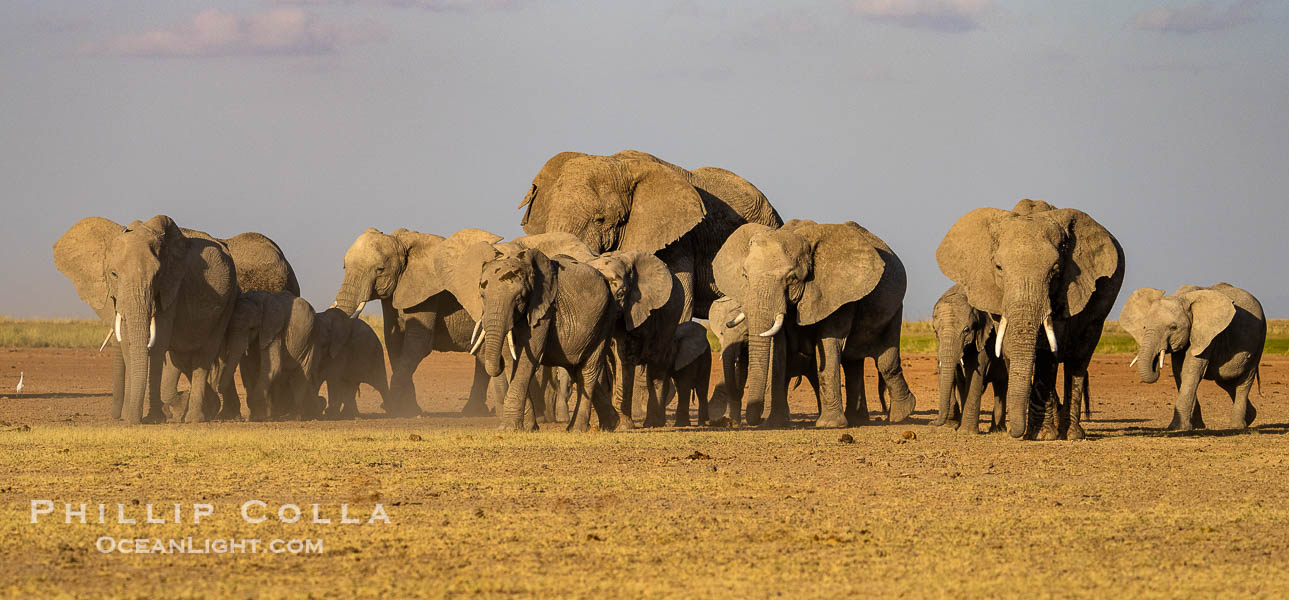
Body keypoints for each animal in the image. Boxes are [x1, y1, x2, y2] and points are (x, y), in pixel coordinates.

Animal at [52, 215, 237, 424]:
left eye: (157, 275)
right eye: (113, 274)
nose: (131, 419)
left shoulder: (170, 287)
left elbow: (159, 342)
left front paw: (154, 417)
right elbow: (128, 343)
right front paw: (133, 417)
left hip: (229, 299)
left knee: (205, 353)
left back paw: (194, 417)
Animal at [332, 227, 502, 416]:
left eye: (380, 269)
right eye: (344, 266)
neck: (402, 242)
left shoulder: (426, 293)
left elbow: (417, 344)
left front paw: (393, 407)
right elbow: (394, 342)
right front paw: (409, 410)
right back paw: (474, 412)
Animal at [587, 250, 683, 428]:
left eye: (621, 294)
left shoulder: (635, 312)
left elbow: (625, 358)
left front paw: (623, 426)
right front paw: (605, 425)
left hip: (669, 323)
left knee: (657, 368)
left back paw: (653, 424)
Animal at [931, 285, 1008, 433]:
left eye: (966, 330)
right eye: (935, 331)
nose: (931, 422)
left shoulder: (984, 338)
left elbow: (974, 373)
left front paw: (966, 431)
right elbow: (960, 379)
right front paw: (956, 427)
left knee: (1001, 385)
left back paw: (998, 430)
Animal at [1119, 283, 1265, 431]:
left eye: (1173, 327)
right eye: (1144, 327)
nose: (1156, 363)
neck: (1181, 297)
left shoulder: (1207, 335)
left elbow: (1191, 371)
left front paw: (1177, 427)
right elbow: (1179, 372)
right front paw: (1196, 427)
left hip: (1259, 341)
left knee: (1244, 380)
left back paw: (1237, 426)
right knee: (1226, 380)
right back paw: (1251, 417)